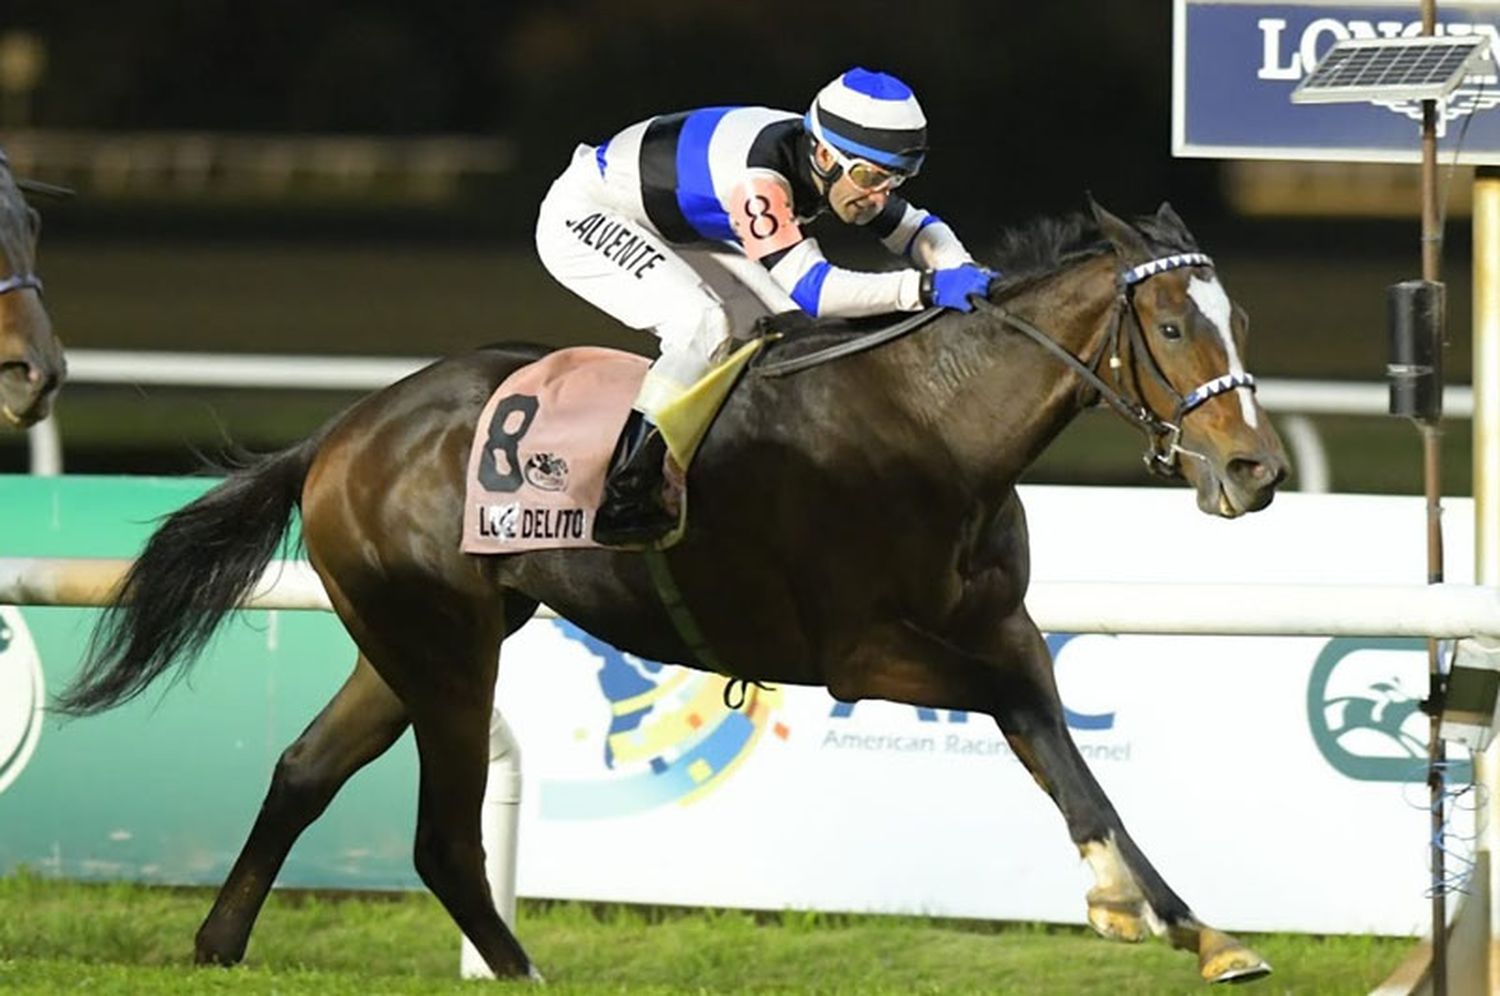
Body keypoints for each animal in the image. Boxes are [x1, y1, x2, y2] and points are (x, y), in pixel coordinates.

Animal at [55, 198, 1290, 984]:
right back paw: (523, 972)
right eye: (1170, 325)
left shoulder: (1004, 630)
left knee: (306, 771)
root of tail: (344, 429)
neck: (935, 427)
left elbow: (1069, 755)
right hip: (447, 648)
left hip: (407, 639)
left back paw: (218, 944)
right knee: (444, 836)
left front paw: (1194, 929)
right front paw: (1128, 907)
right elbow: (1020, 713)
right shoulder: (861, 653)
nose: (1257, 472)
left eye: (1238, 323)